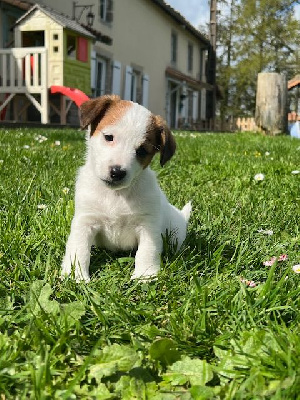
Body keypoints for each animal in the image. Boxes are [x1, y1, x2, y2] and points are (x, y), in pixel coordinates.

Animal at [61, 94, 191, 282]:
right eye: (109, 137)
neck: (116, 195)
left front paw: (145, 276)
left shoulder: (148, 225)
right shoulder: (85, 221)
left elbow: (147, 251)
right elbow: (79, 249)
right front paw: (76, 276)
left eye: (142, 150)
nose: (117, 172)